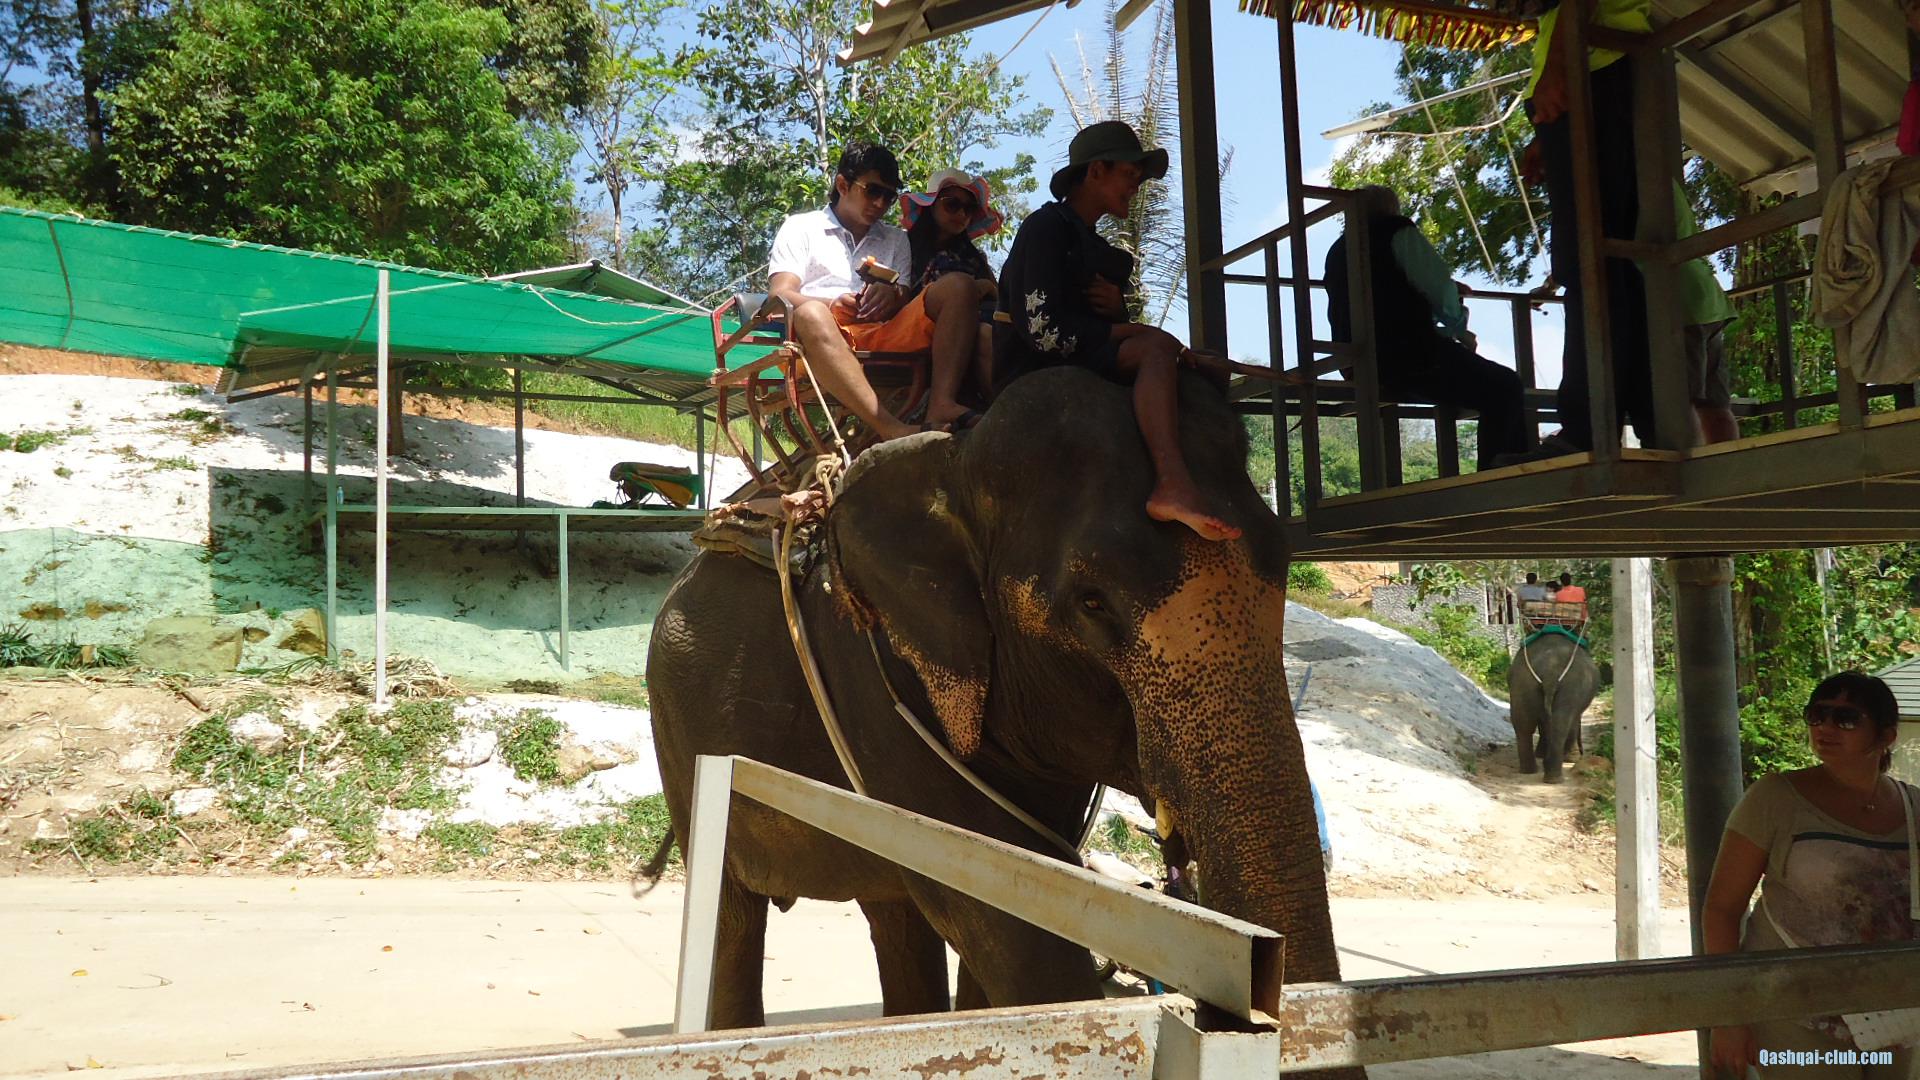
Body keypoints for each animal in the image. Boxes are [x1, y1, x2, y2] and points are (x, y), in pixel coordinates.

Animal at [646, 366, 1352, 1070]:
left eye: (1285, 563)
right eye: (1092, 603)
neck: (953, 459)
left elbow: (1014, 888)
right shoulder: (877, 684)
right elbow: (1013, 924)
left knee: (895, 914)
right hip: (679, 733)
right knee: (735, 914)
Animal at [1507, 630, 1600, 784]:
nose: (1583, 753)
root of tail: (1550, 671)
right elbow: (1573, 720)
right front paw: (1572, 759)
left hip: (1522, 683)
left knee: (1523, 723)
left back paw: (1530, 770)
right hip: (1571, 686)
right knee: (1561, 724)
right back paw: (1554, 776)